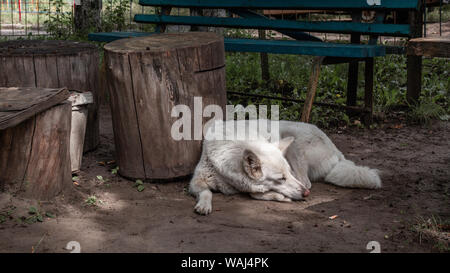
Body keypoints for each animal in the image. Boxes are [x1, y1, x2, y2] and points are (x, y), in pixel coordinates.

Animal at [188, 120, 382, 214]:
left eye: (287, 174)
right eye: (281, 178)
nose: (306, 195)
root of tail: (336, 151)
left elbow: (253, 193)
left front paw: (279, 196)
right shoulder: (196, 181)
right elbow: (206, 192)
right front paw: (204, 206)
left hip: (294, 140)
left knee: (306, 181)